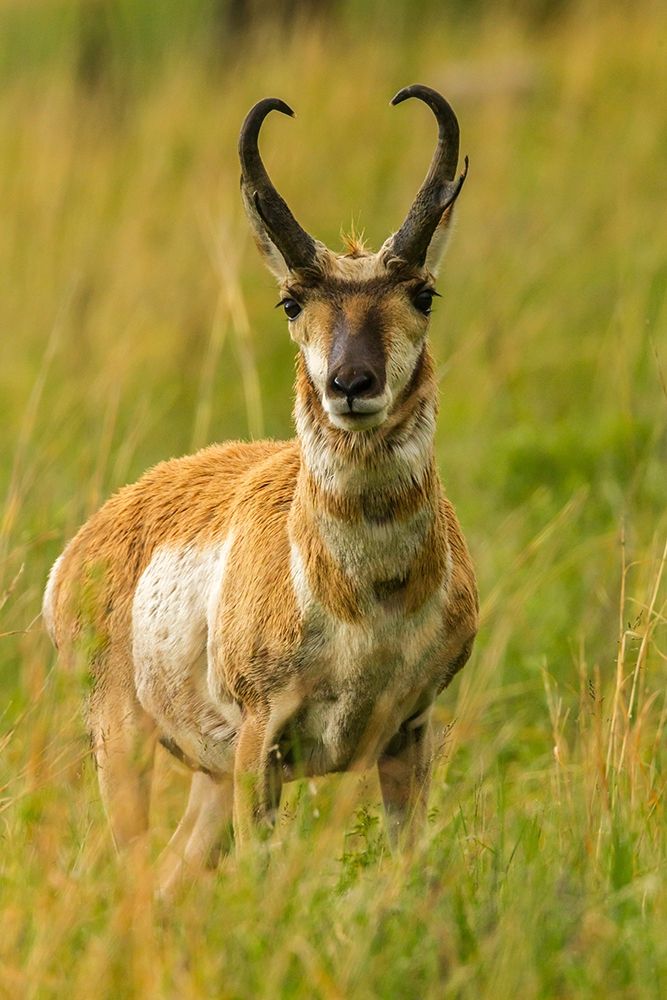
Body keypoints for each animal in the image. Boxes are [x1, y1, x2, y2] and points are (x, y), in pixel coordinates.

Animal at [43, 85, 478, 894]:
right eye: (291, 300)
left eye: (423, 292)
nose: (350, 384)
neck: (365, 603)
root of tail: (88, 541)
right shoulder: (259, 744)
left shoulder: (409, 734)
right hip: (126, 744)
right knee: (133, 876)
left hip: (207, 782)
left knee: (170, 874)